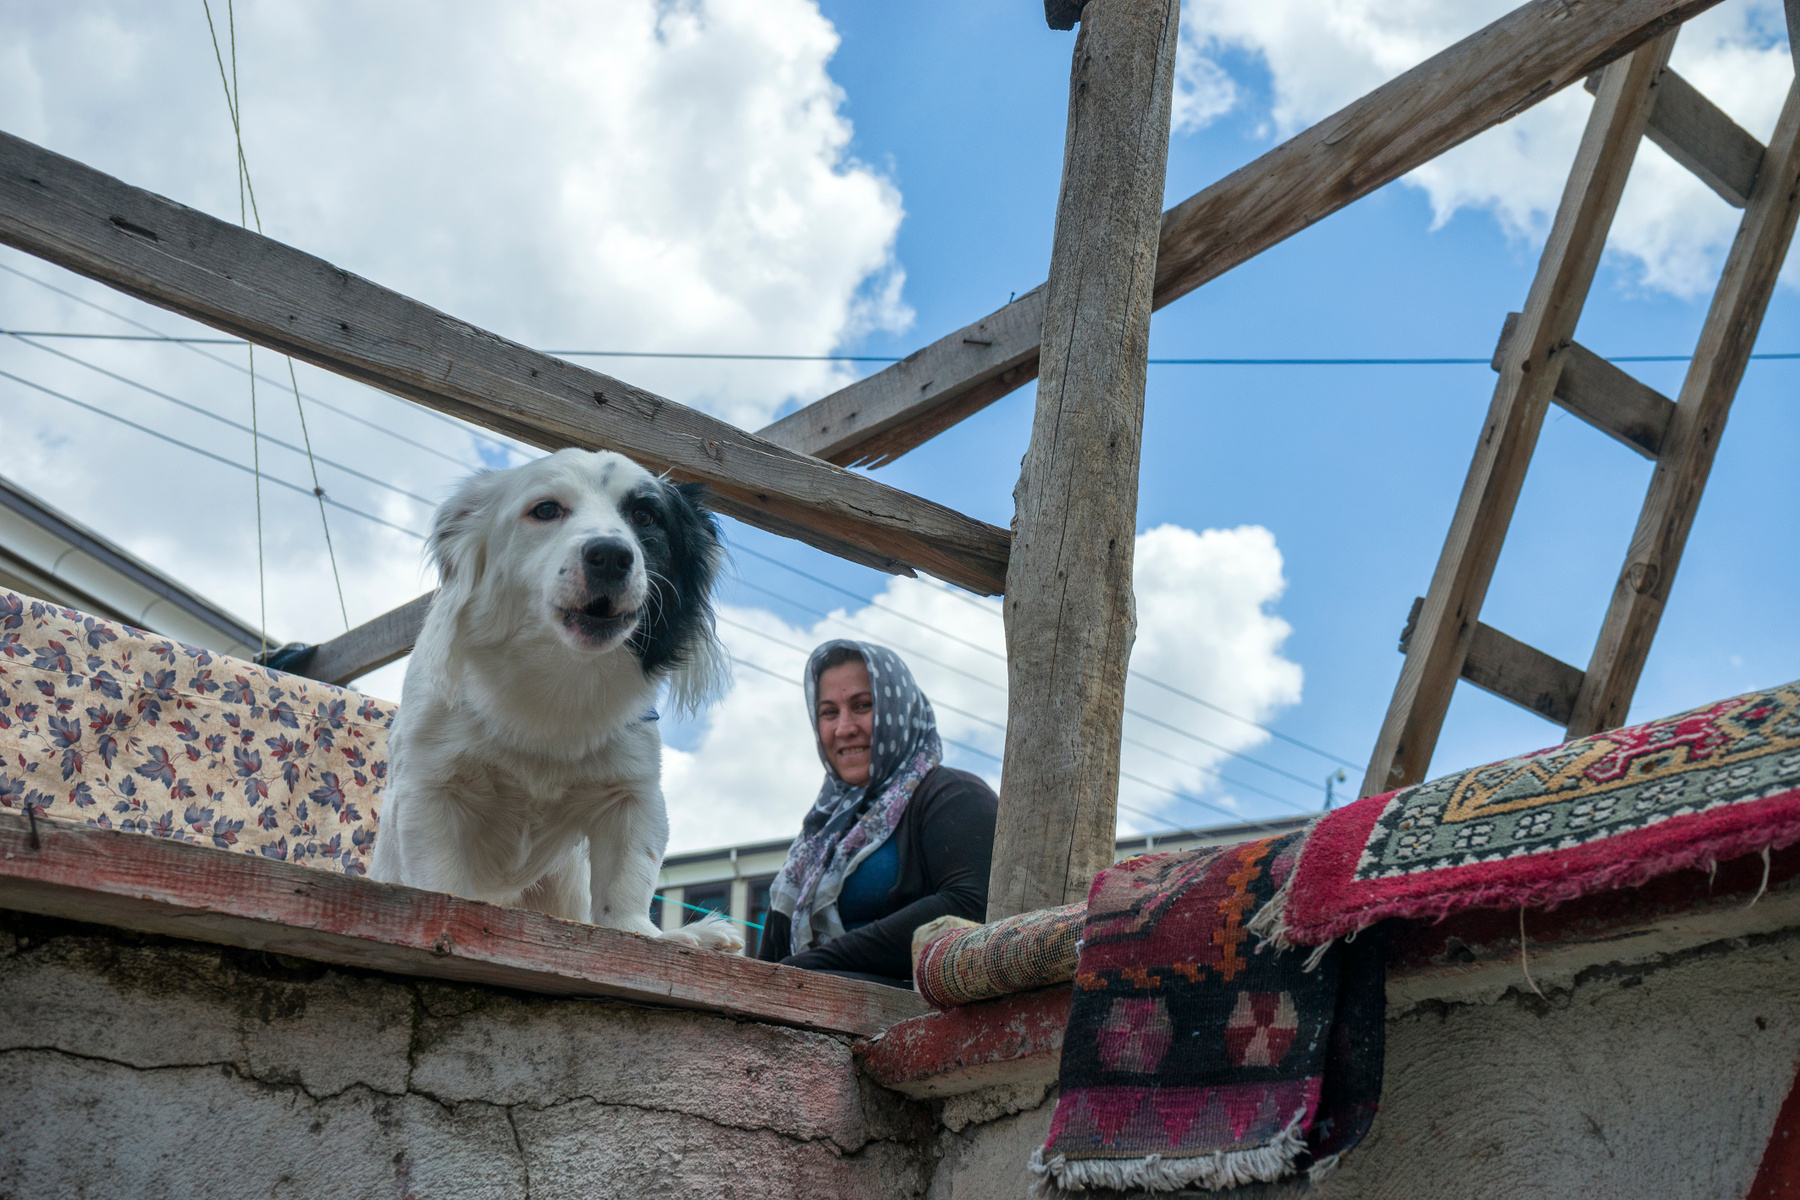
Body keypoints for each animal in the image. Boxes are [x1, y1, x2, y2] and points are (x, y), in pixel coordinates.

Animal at [369, 448, 741, 952]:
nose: (611, 556)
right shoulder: (430, 785)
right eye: (545, 509)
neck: (557, 678)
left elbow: (628, 882)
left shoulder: (633, 791)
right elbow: (441, 877)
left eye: (645, 515)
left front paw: (647, 936)